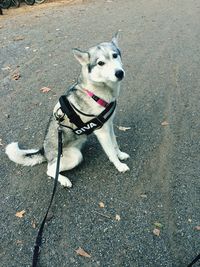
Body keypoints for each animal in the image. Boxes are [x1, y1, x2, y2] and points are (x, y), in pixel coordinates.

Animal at [5, 33, 130, 188]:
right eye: (101, 63)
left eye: (115, 55)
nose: (119, 73)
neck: (96, 92)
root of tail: (44, 151)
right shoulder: (102, 132)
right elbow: (111, 152)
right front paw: (119, 165)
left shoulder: (109, 126)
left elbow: (115, 144)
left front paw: (121, 155)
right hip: (75, 156)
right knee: (50, 169)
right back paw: (63, 180)